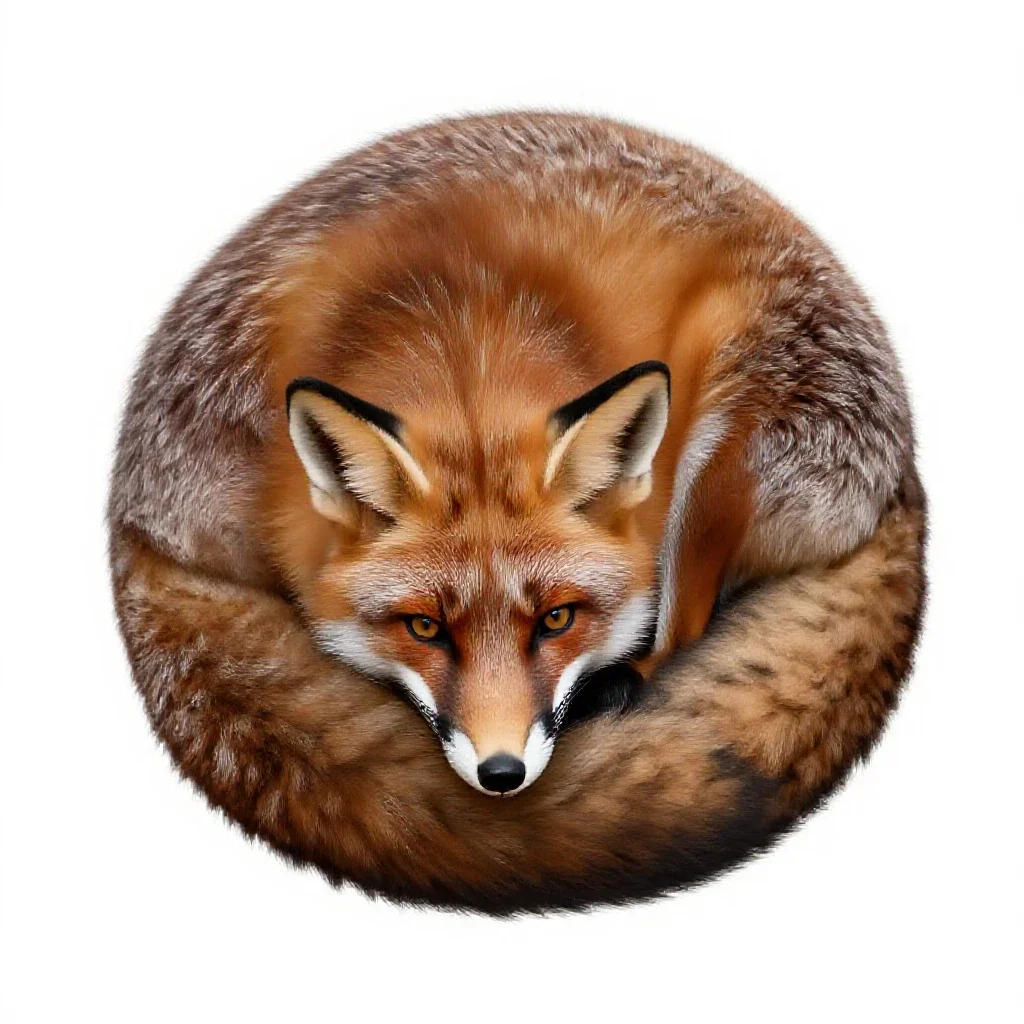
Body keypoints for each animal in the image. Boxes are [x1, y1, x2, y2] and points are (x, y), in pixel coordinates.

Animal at [109, 113, 923, 906]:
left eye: (557, 619)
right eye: (425, 629)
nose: (502, 774)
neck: (455, 323)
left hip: (723, 433)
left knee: (685, 624)